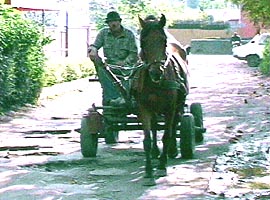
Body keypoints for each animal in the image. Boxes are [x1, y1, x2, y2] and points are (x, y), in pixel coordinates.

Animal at [132, 14, 189, 186]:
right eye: (142, 42)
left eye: (163, 41)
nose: (156, 72)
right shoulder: (144, 108)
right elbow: (147, 138)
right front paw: (148, 170)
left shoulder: (170, 108)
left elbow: (167, 135)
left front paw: (162, 166)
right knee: (155, 127)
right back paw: (155, 152)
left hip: (178, 105)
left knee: (174, 124)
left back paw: (172, 150)